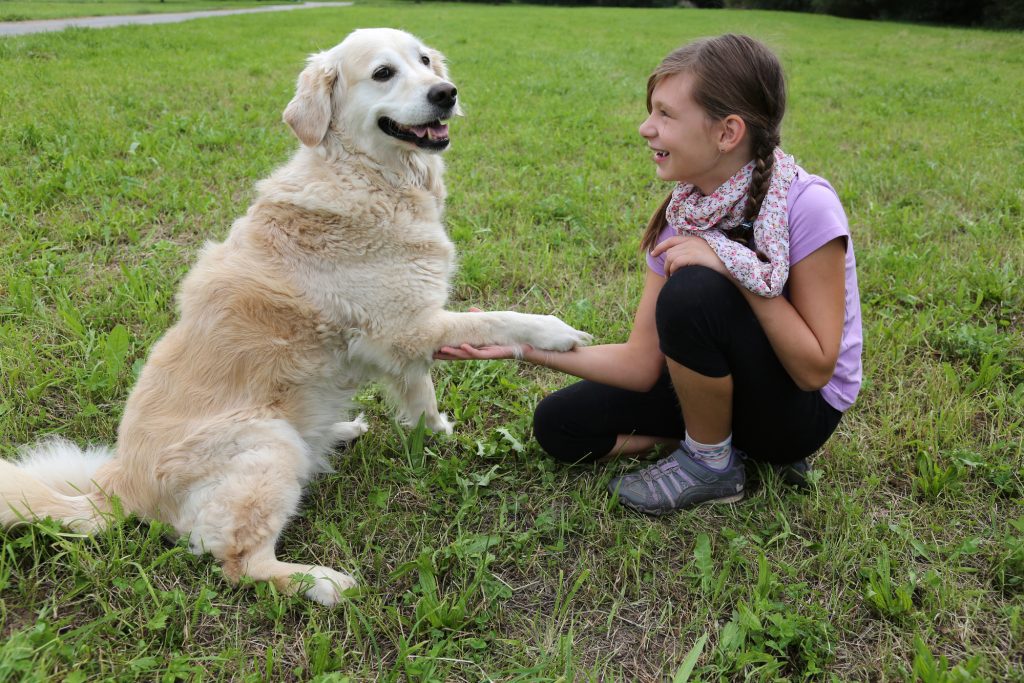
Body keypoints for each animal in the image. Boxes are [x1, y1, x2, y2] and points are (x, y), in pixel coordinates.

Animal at [0, 26, 593, 606]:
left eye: (425, 61)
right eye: (383, 73)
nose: (445, 94)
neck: (368, 175)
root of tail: (120, 485)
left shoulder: (402, 341)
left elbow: (420, 394)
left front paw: (437, 434)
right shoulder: (408, 326)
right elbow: (498, 318)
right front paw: (557, 333)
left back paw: (342, 431)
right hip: (268, 444)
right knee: (241, 564)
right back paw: (326, 584)